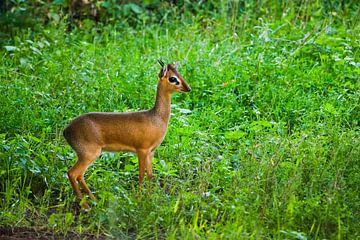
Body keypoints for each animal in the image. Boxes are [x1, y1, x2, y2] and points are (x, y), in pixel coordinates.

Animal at [63, 60, 191, 208]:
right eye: (173, 78)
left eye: (179, 74)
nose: (188, 88)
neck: (156, 118)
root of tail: (66, 130)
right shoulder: (142, 150)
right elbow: (141, 175)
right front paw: (139, 200)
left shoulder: (151, 152)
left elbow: (150, 175)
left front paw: (149, 199)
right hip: (89, 154)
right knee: (72, 173)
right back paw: (86, 207)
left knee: (79, 175)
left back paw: (95, 201)